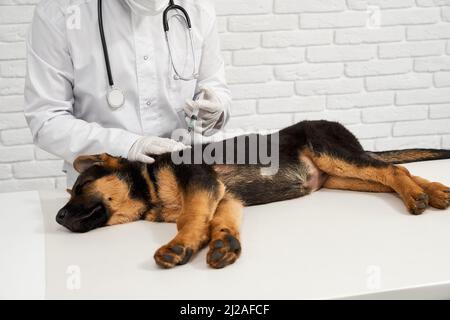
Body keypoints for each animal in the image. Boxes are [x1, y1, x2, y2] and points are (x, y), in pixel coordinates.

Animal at [56, 121, 450, 268]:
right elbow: (221, 221)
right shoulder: (226, 196)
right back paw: (434, 192)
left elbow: (190, 216)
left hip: (332, 153)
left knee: (392, 170)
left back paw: (417, 197)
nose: (57, 218)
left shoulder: (200, 181)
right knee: (394, 173)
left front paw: (180, 245)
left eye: (80, 188)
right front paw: (223, 243)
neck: (148, 183)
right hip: (340, 176)